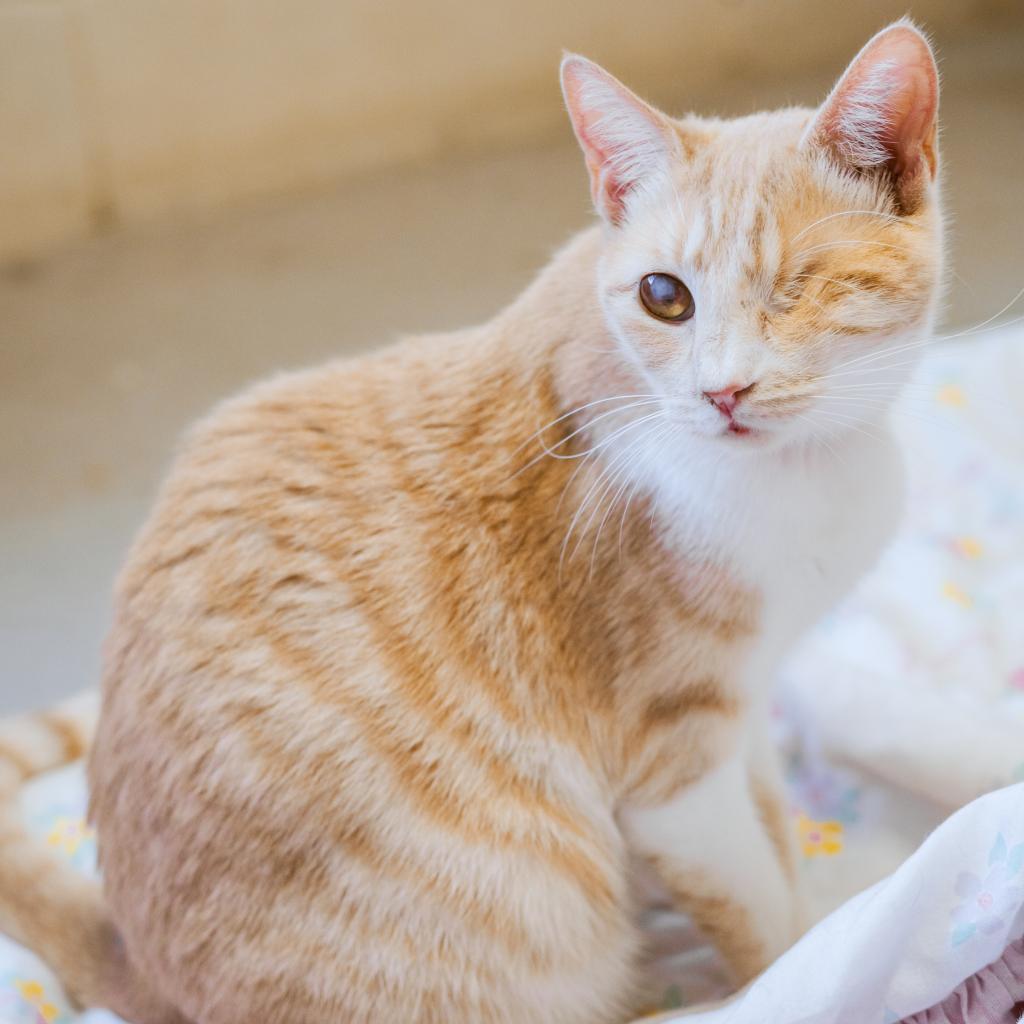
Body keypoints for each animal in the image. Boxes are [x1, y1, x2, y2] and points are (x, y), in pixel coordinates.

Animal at [0, 18, 942, 1024]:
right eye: (664, 297)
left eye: (801, 285)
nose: (722, 392)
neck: (805, 469)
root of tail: (145, 969)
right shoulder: (674, 770)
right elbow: (764, 919)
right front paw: (809, 961)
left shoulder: (747, 706)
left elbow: (778, 838)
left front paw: (819, 898)